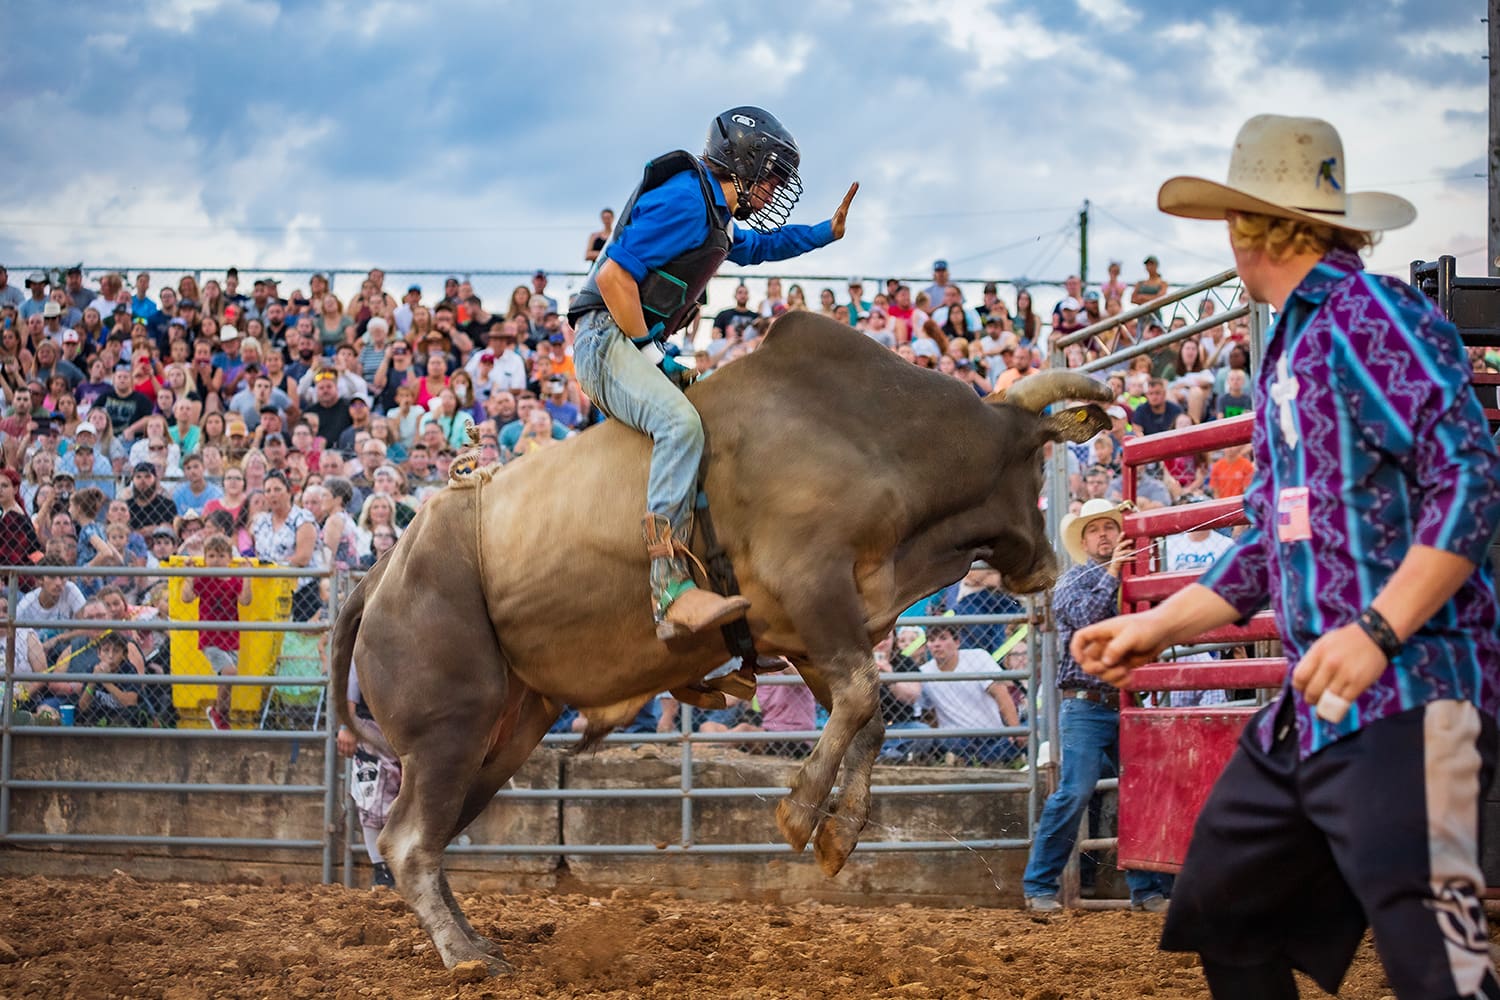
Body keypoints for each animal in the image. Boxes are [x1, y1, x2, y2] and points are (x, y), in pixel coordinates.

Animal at [330, 313, 1112, 974]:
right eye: (1038, 464)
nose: (1047, 566)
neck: (872, 431)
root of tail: (382, 572)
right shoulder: (812, 585)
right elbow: (863, 696)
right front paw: (801, 813)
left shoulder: (810, 631)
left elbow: (867, 714)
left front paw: (837, 835)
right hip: (449, 731)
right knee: (408, 842)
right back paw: (465, 956)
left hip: (501, 736)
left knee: (433, 837)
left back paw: (475, 939)